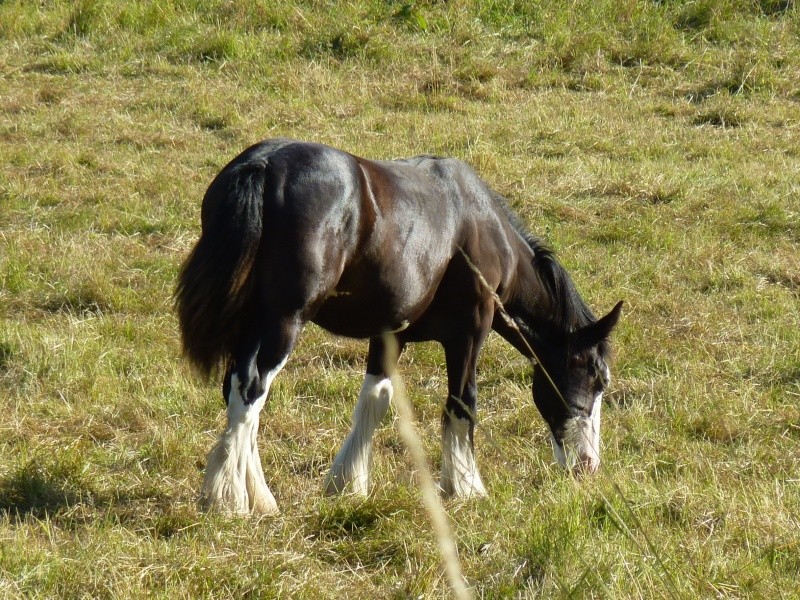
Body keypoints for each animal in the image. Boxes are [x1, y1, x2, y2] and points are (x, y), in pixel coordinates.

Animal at [177, 138, 624, 512]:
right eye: (596, 378)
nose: (588, 465)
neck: (480, 225)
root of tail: (263, 165)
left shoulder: (389, 335)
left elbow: (375, 400)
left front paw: (348, 483)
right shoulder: (469, 333)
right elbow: (462, 404)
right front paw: (467, 488)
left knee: (239, 391)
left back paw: (258, 497)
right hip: (284, 321)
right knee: (251, 389)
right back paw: (230, 500)